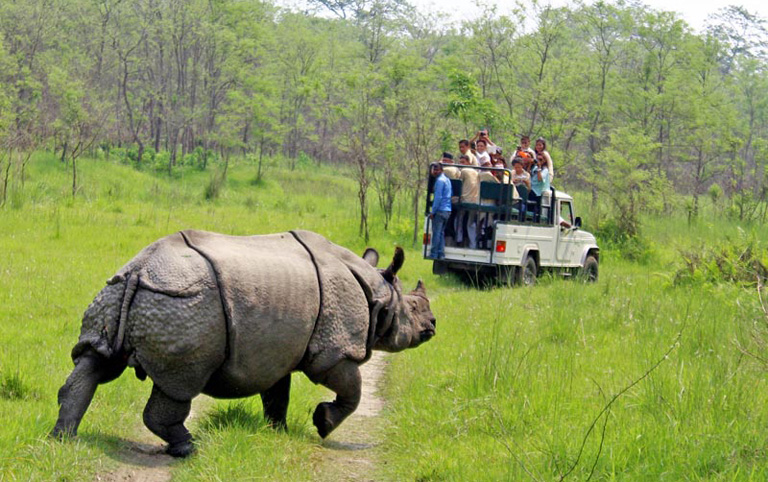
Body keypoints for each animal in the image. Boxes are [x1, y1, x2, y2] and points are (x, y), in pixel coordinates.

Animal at [51, 230, 436, 457]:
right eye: (414, 309)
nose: (432, 326)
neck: (378, 294)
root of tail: (139, 270)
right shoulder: (335, 349)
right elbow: (351, 391)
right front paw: (323, 424)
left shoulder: (278, 351)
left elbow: (277, 394)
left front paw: (278, 432)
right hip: (185, 303)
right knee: (181, 383)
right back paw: (188, 448)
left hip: (116, 293)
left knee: (95, 362)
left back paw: (62, 439)